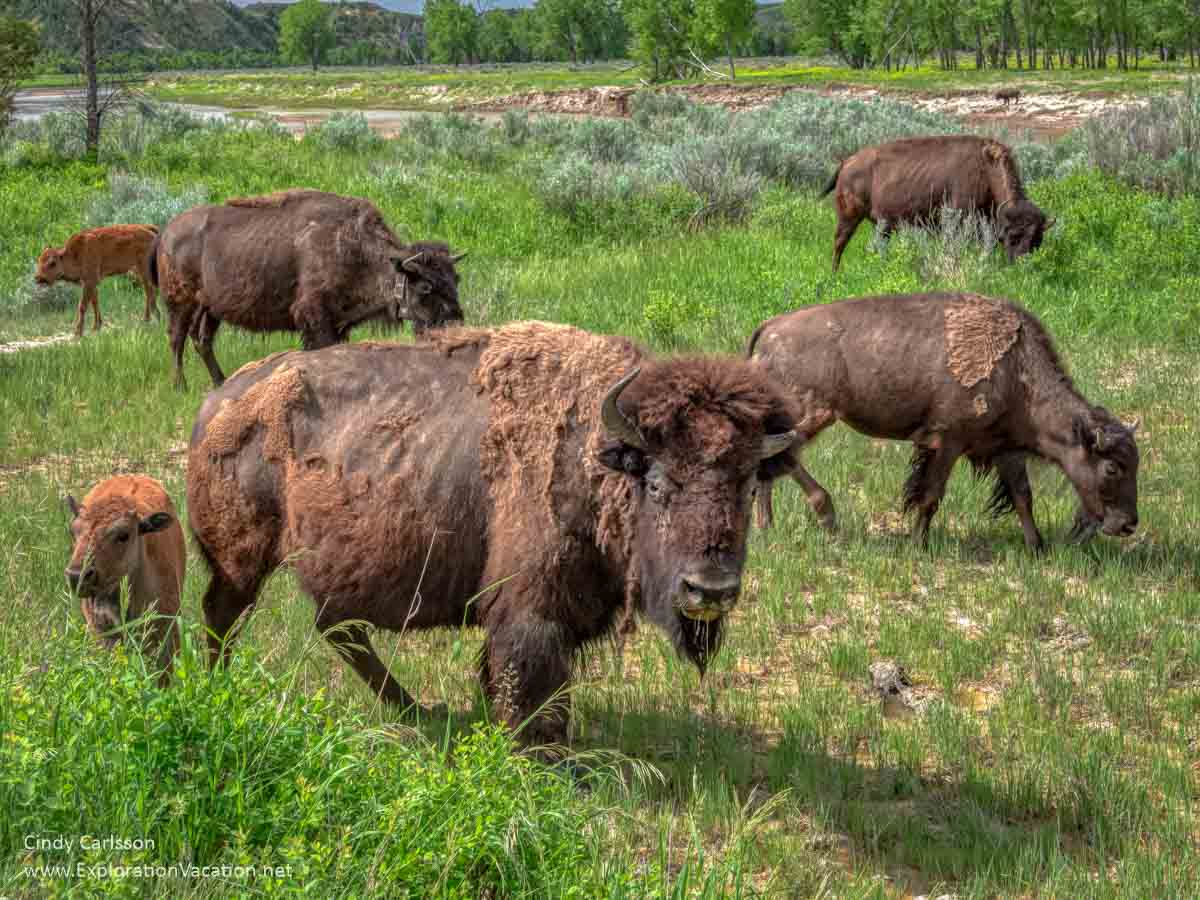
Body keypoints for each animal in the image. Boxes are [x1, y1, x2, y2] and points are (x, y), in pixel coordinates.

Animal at [151, 189, 465, 389]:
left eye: (456, 279)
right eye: (425, 286)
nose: (456, 321)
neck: (355, 248)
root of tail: (167, 231)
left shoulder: (339, 322)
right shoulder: (314, 316)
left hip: (211, 309)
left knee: (202, 340)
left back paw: (220, 381)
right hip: (180, 303)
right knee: (177, 340)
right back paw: (180, 386)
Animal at [186, 322, 799, 747]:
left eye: (748, 486)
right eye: (656, 481)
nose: (710, 590)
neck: (595, 456)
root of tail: (216, 403)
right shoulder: (532, 611)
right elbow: (531, 683)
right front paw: (543, 758)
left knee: (337, 629)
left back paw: (416, 710)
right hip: (241, 560)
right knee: (225, 616)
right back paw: (219, 691)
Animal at [749, 293, 1139, 551]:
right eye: (1112, 467)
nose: (1128, 524)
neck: (1016, 371)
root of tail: (769, 328)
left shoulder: (1006, 449)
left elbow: (1022, 496)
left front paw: (1037, 546)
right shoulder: (948, 442)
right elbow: (931, 495)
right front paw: (919, 544)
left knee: (770, 464)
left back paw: (768, 526)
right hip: (813, 414)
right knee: (780, 457)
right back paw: (825, 517)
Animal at [823, 135, 1053, 271]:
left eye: (1037, 240)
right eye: (1012, 238)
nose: (1023, 267)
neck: (986, 169)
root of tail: (847, 162)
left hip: (881, 224)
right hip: (849, 217)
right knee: (839, 243)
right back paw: (835, 272)